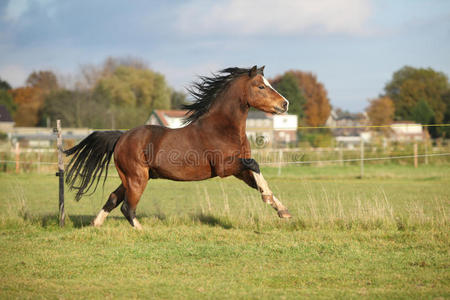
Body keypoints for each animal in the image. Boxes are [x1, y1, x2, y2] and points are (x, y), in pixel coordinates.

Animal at [66, 66, 292, 230]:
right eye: (261, 86)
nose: (285, 104)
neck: (223, 128)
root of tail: (121, 137)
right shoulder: (224, 168)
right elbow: (255, 165)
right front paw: (268, 198)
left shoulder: (239, 170)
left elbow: (256, 177)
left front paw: (282, 210)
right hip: (137, 178)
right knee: (127, 207)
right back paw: (143, 231)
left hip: (131, 178)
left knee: (113, 199)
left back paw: (95, 225)